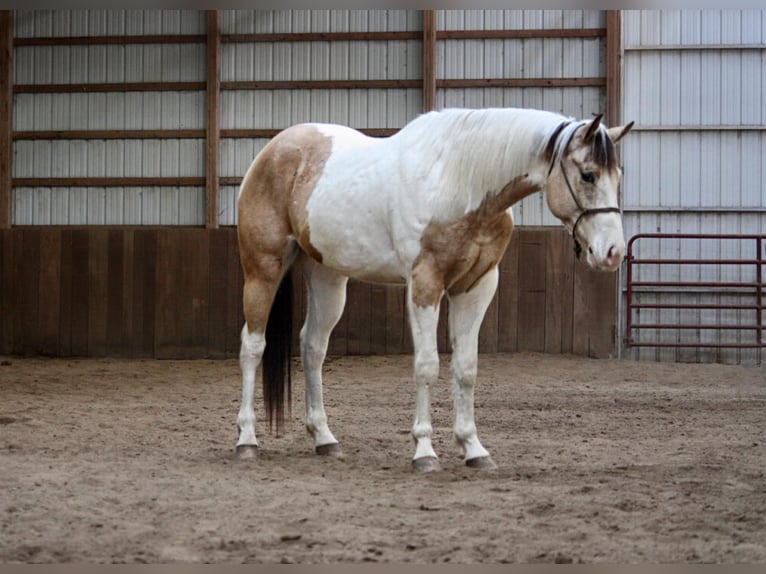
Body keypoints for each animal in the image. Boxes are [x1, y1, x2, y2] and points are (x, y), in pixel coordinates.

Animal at [237, 107, 632, 472]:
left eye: (618, 176)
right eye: (588, 174)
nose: (613, 252)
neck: (460, 183)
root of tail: (272, 151)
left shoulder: (476, 287)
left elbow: (466, 368)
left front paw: (474, 448)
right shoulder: (425, 283)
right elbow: (427, 366)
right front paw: (425, 452)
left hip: (327, 278)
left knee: (313, 347)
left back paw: (324, 439)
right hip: (262, 270)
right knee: (253, 346)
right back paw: (247, 440)